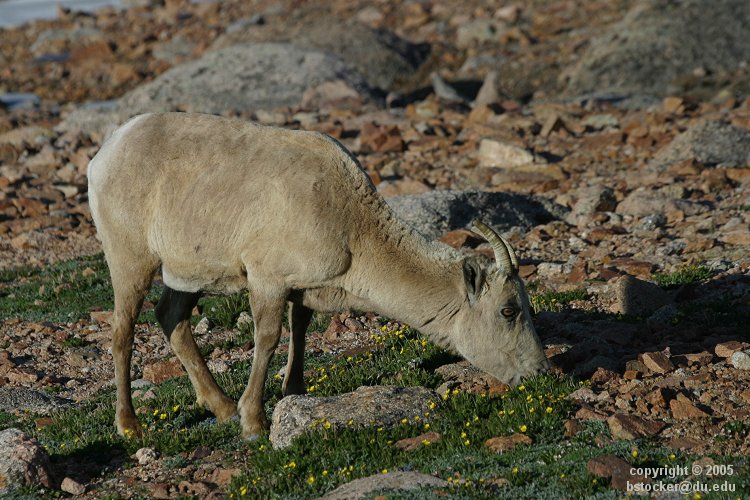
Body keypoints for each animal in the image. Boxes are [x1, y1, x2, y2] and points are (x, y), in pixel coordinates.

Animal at [87, 112, 549, 439]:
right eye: (509, 311)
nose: (541, 373)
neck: (349, 224)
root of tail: (107, 153)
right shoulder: (267, 279)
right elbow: (268, 338)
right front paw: (253, 423)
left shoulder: (301, 288)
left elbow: (301, 328)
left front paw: (294, 395)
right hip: (130, 259)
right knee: (123, 331)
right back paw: (130, 426)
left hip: (186, 274)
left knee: (172, 318)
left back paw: (220, 407)